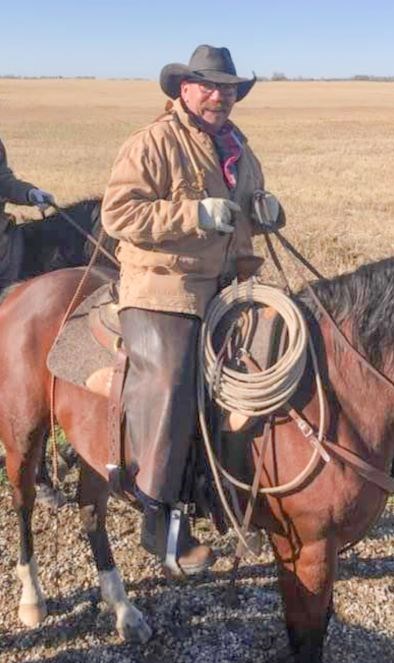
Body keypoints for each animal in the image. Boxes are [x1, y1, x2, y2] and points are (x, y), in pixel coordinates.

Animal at [0, 256, 392, 660]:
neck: (337, 393)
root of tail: (24, 288)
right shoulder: (307, 548)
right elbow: (306, 639)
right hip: (23, 432)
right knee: (24, 503)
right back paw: (33, 598)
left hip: (94, 445)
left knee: (91, 512)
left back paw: (124, 611)